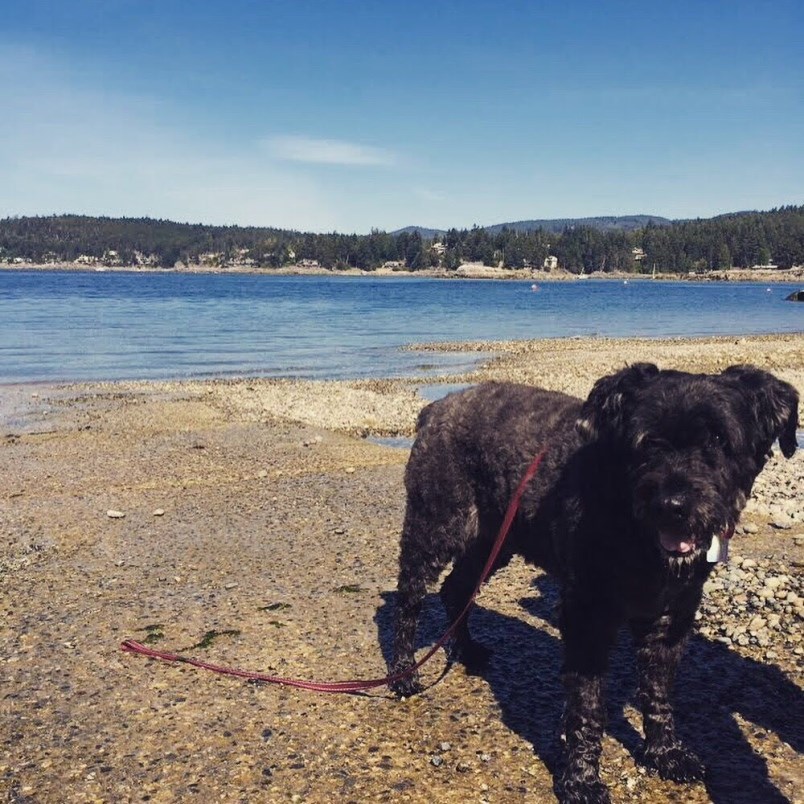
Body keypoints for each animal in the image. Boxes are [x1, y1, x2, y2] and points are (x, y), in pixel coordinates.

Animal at [390, 366, 796, 804]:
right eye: (647, 441)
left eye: (719, 440)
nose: (673, 505)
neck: (635, 533)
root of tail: (437, 408)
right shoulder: (587, 619)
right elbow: (587, 706)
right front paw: (581, 779)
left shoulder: (671, 618)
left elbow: (658, 692)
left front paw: (665, 752)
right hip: (435, 526)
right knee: (409, 598)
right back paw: (403, 672)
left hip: (493, 540)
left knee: (456, 590)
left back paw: (467, 650)